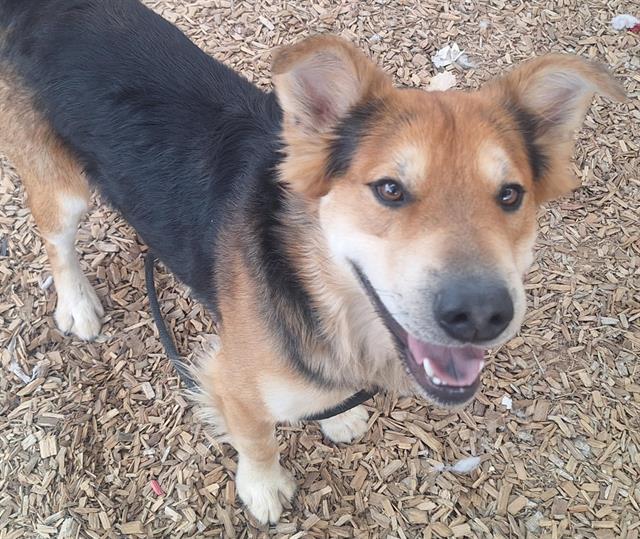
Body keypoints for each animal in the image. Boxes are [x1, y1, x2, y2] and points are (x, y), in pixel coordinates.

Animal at [0, 0, 624, 524]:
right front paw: (262, 488)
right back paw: (78, 304)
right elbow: (256, 438)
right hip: (61, 188)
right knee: (57, 241)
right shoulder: (230, 379)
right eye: (390, 190)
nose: (480, 315)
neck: (320, 293)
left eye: (510, 196)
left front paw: (335, 415)